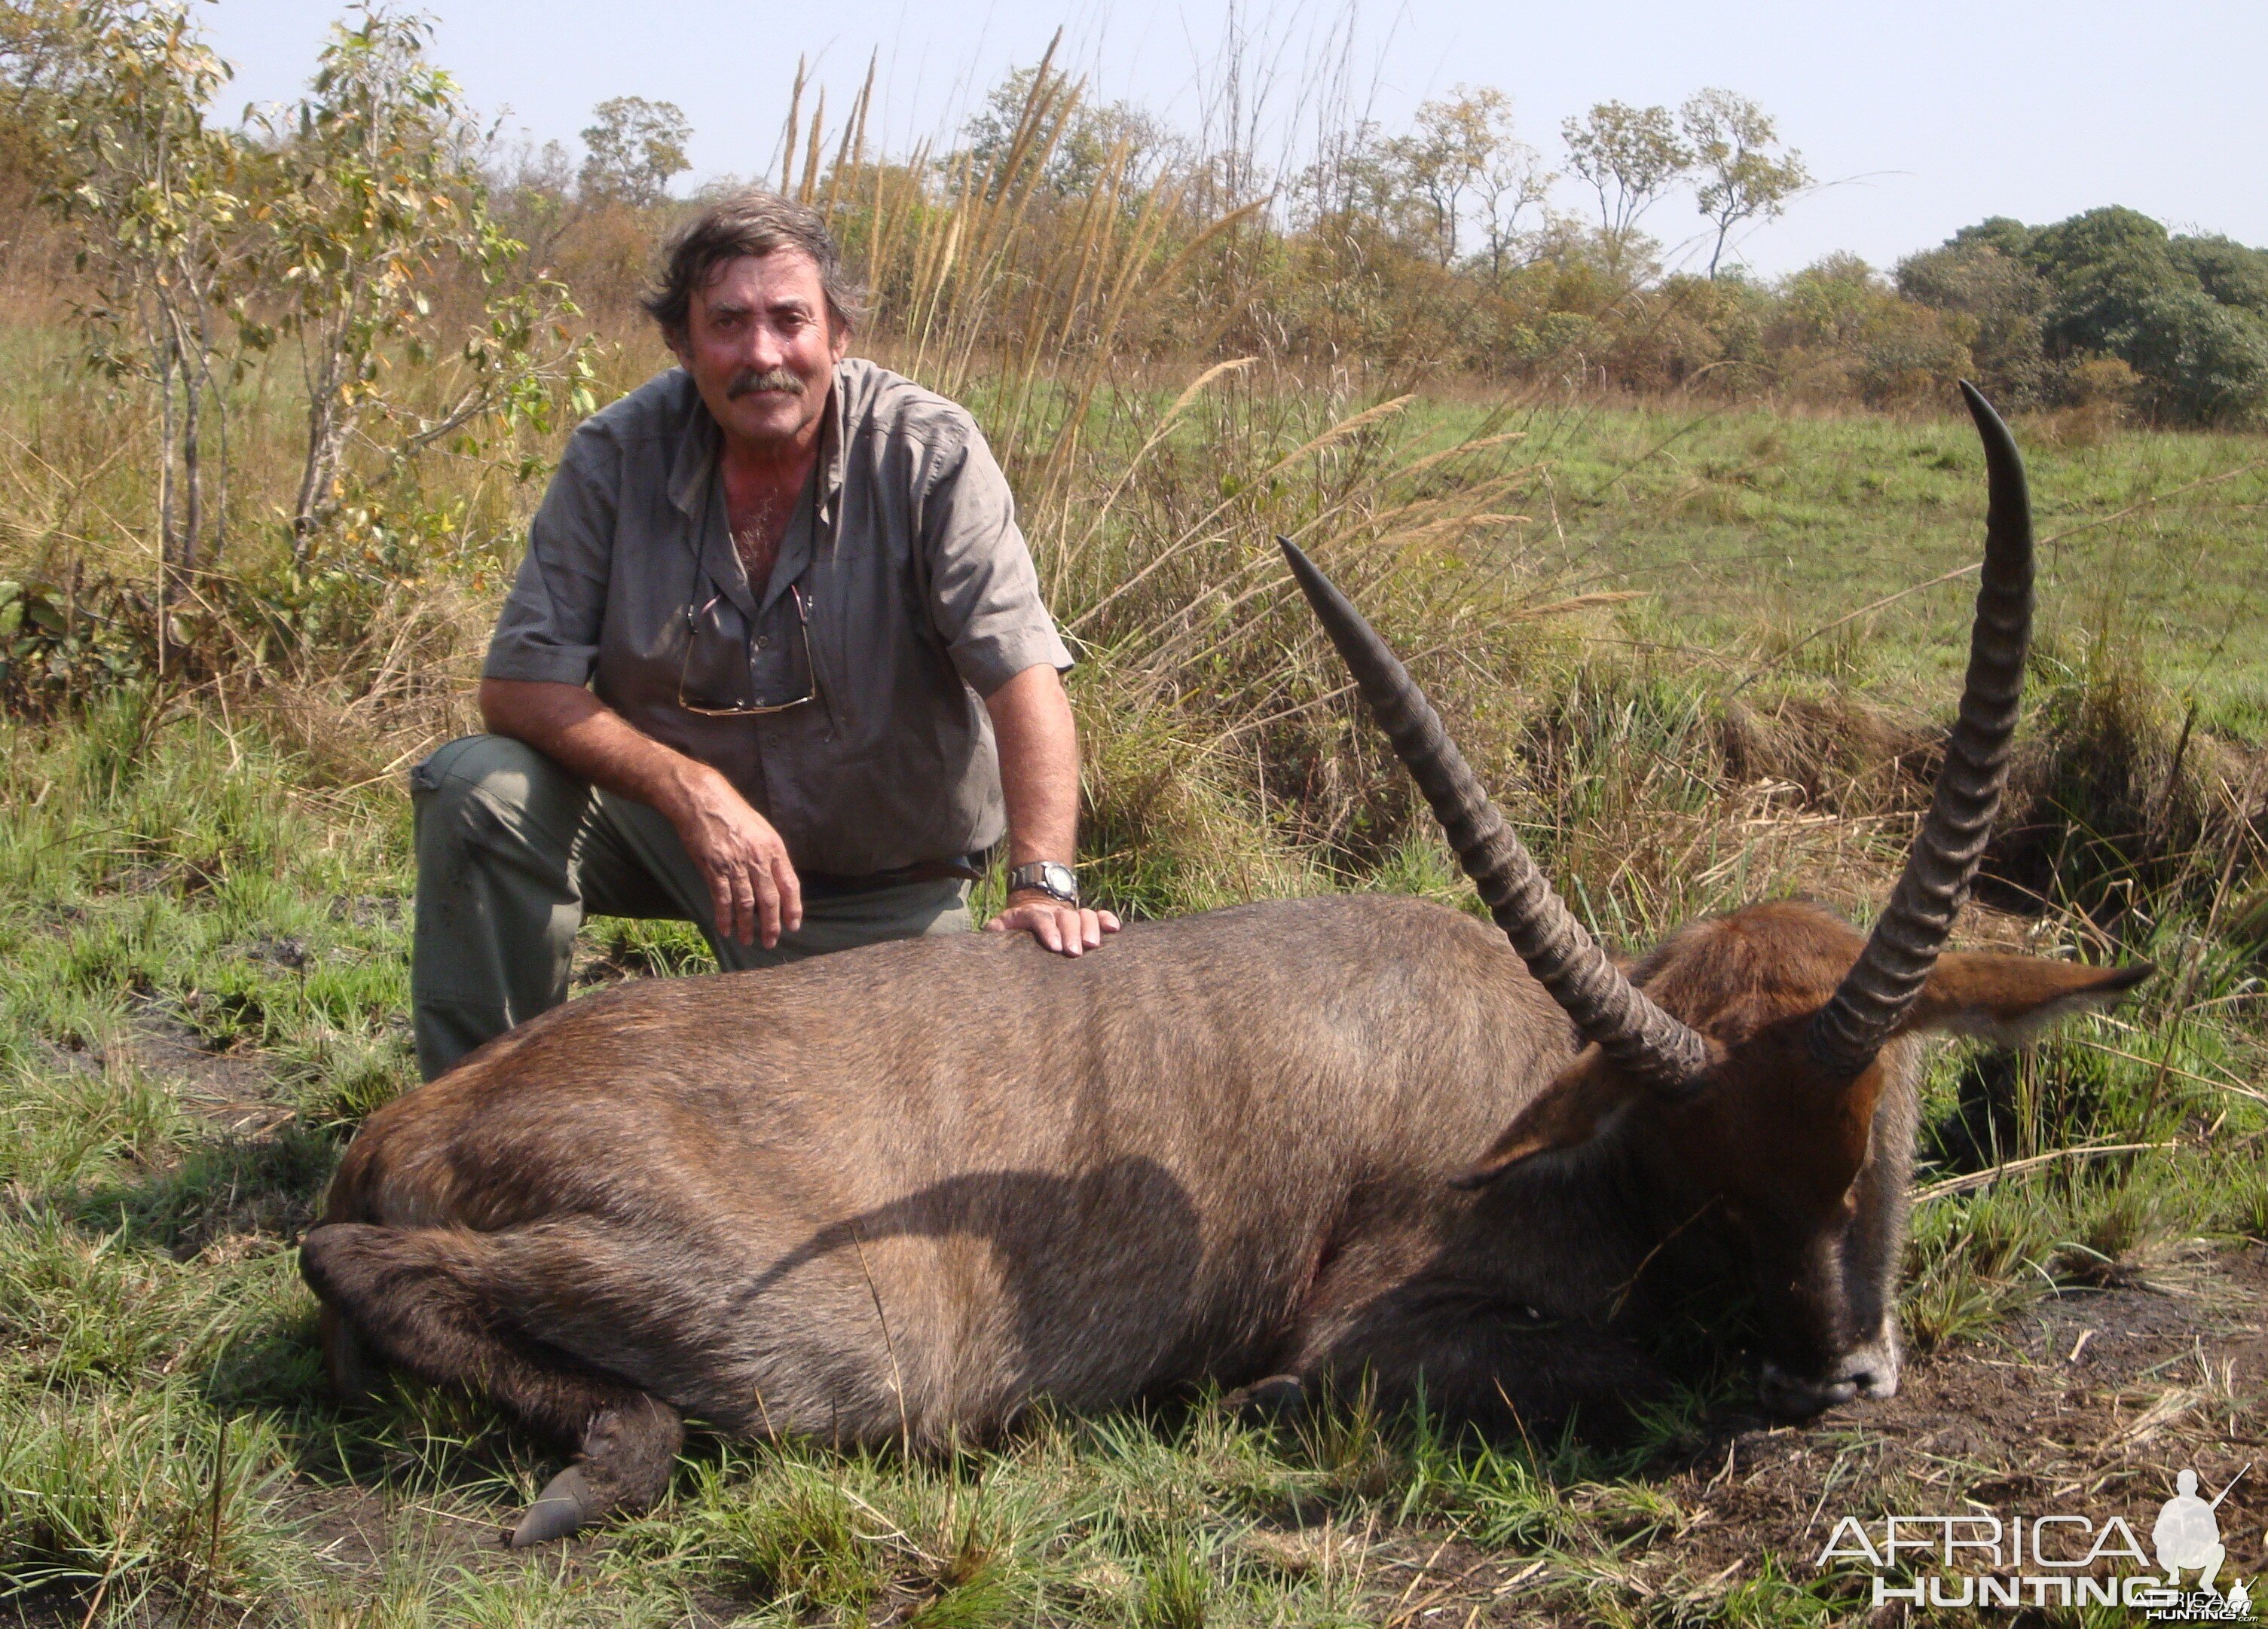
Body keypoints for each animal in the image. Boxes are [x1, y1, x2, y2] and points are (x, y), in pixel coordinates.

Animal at [297, 383, 2141, 1542]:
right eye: (1705, 1170)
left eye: (1883, 1124)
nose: (1831, 1372)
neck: (1566, 1114)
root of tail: (415, 1117)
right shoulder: (1371, 1328)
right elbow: (1608, 1371)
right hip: (817, 1345)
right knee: (357, 1264)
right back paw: (604, 1463)